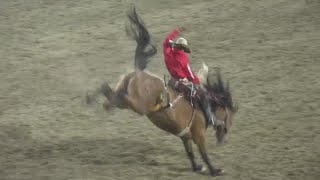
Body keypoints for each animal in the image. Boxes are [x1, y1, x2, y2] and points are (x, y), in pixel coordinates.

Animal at [89, 6, 236, 176]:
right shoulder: (198, 134)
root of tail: (138, 72)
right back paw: (99, 103)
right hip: (137, 105)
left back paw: (96, 101)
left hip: (125, 93)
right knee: (115, 94)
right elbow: (203, 152)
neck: (203, 108)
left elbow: (190, 152)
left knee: (108, 90)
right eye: (230, 116)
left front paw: (197, 167)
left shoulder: (185, 135)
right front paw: (214, 170)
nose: (224, 138)